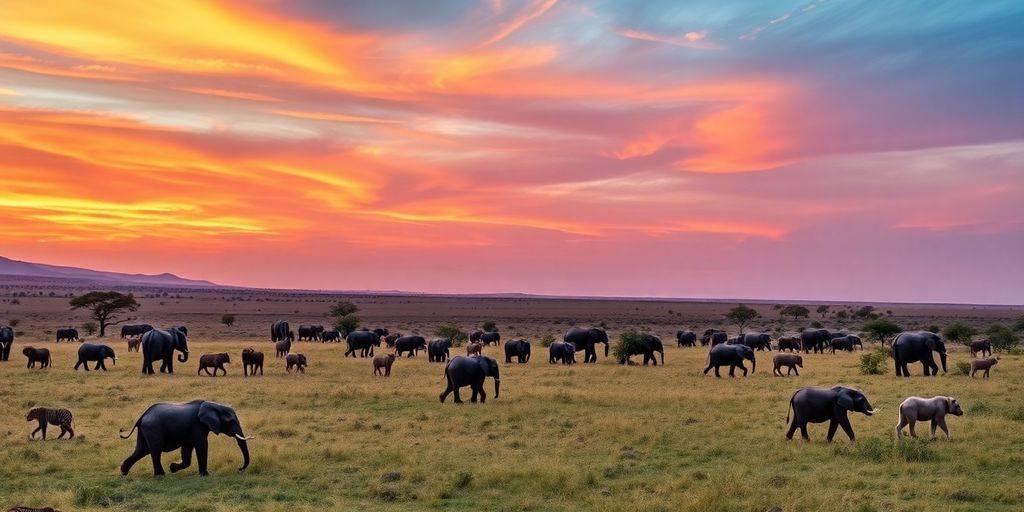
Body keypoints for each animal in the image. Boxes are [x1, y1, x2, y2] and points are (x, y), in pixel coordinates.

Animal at [119, 400, 252, 476]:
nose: (239, 469)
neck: (213, 404)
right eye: (230, 421)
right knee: (155, 451)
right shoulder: (197, 426)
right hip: (153, 429)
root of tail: (142, 415)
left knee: (141, 450)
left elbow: (187, 449)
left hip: (145, 430)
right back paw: (160, 476)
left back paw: (123, 472)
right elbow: (202, 445)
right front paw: (205, 475)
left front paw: (173, 468)